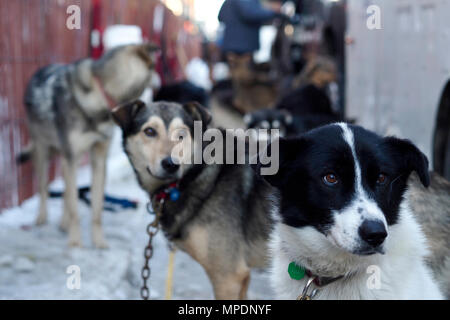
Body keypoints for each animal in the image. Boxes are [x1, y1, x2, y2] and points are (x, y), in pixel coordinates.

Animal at [19, 43, 160, 248]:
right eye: (155, 66)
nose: (160, 81)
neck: (101, 93)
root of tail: (38, 71)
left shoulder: (99, 158)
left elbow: (96, 208)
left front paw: (99, 242)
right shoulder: (71, 156)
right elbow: (74, 207)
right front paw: (76, 242)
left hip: (68, 158)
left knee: (66, 192)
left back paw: (63, 223)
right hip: (44, 152)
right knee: (44, 187)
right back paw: (42, 217)